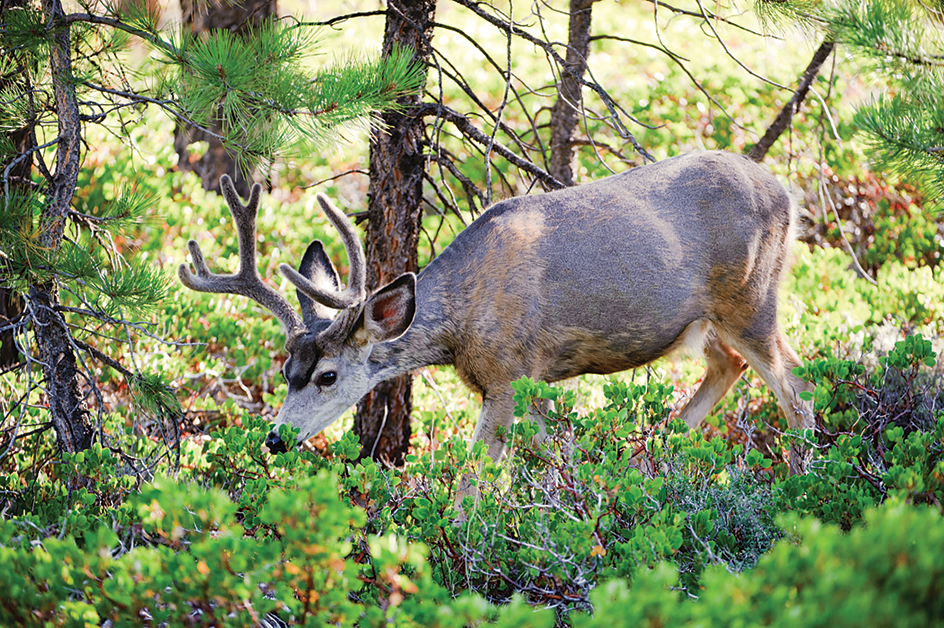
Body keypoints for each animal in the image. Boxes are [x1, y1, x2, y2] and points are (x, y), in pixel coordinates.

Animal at [181, 153, 816, 472]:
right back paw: (644, 460)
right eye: (285, 371)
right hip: (700, 319)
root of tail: (787, 191)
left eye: (329, 375)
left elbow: (474, 474)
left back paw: (802, 479)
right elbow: (551, 450)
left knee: (795, 385)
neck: (462, 320)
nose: (275, 439)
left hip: (752, 295)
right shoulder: (525, 381)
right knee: (728, 365)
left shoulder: (509, 371)